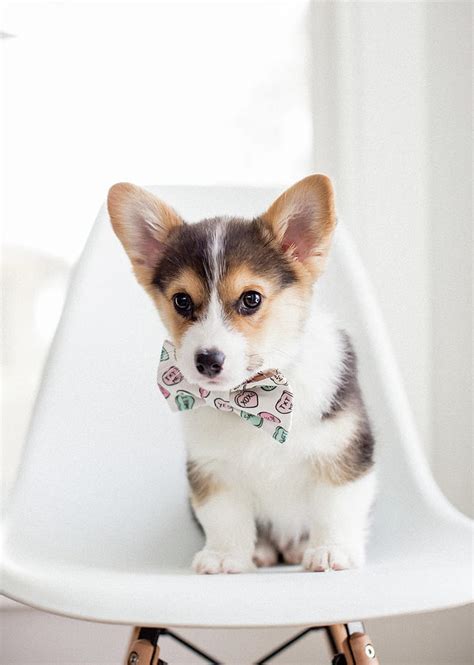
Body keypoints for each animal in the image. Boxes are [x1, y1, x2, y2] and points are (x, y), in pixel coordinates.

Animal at [107, 175, 374, 572]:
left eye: (251, 299)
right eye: (181, 301)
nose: (207, 360)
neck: (250, 398)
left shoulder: (341, 452)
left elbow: (335, 508)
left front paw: (331, 550)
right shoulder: (213, 470)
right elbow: (224, 518)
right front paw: (224, 557)